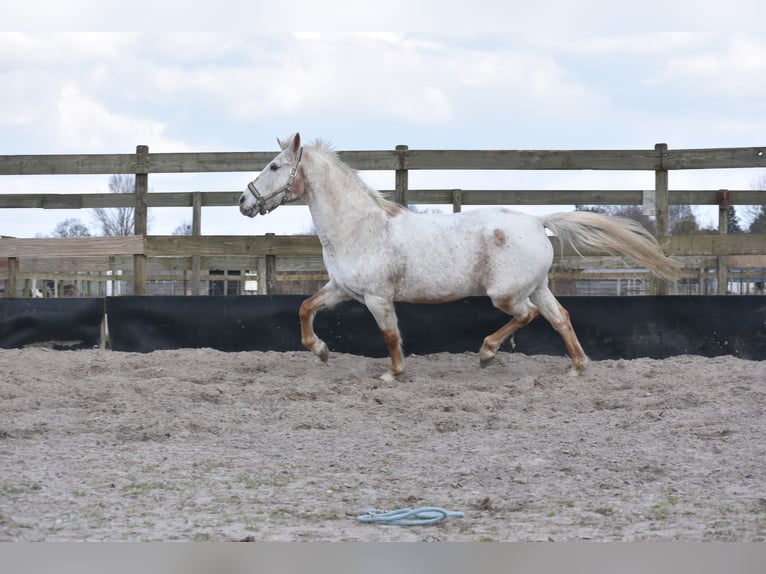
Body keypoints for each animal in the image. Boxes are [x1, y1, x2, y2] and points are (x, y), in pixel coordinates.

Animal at [238, 133, 680, 380]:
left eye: (275, 166)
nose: (244, 201)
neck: (361, 228)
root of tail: (537, 221)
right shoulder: (342, 289)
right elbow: (305, 308)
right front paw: (322, 351)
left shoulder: (378, 298)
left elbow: (390, 334)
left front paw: (393, 373)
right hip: (537, 286)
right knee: (560, 318)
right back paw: (577, 367)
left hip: (507, 294)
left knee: (528, 316)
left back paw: (486, 353)